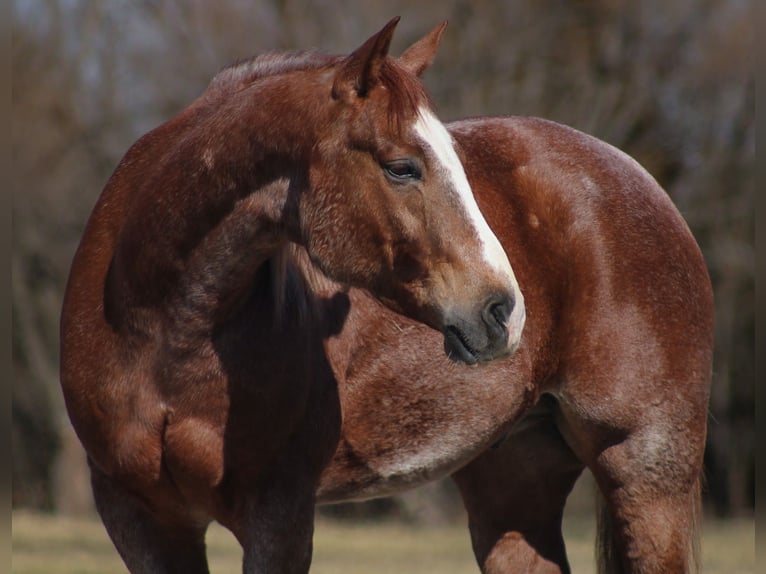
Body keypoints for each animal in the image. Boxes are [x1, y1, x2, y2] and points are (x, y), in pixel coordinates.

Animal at [59, 18, 713, 574]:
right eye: (401, 167)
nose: (505, 311)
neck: (160, 329)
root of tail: (640, 181)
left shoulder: (277, 518)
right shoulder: (143, 521)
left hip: (646, 476)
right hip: (514, 484)